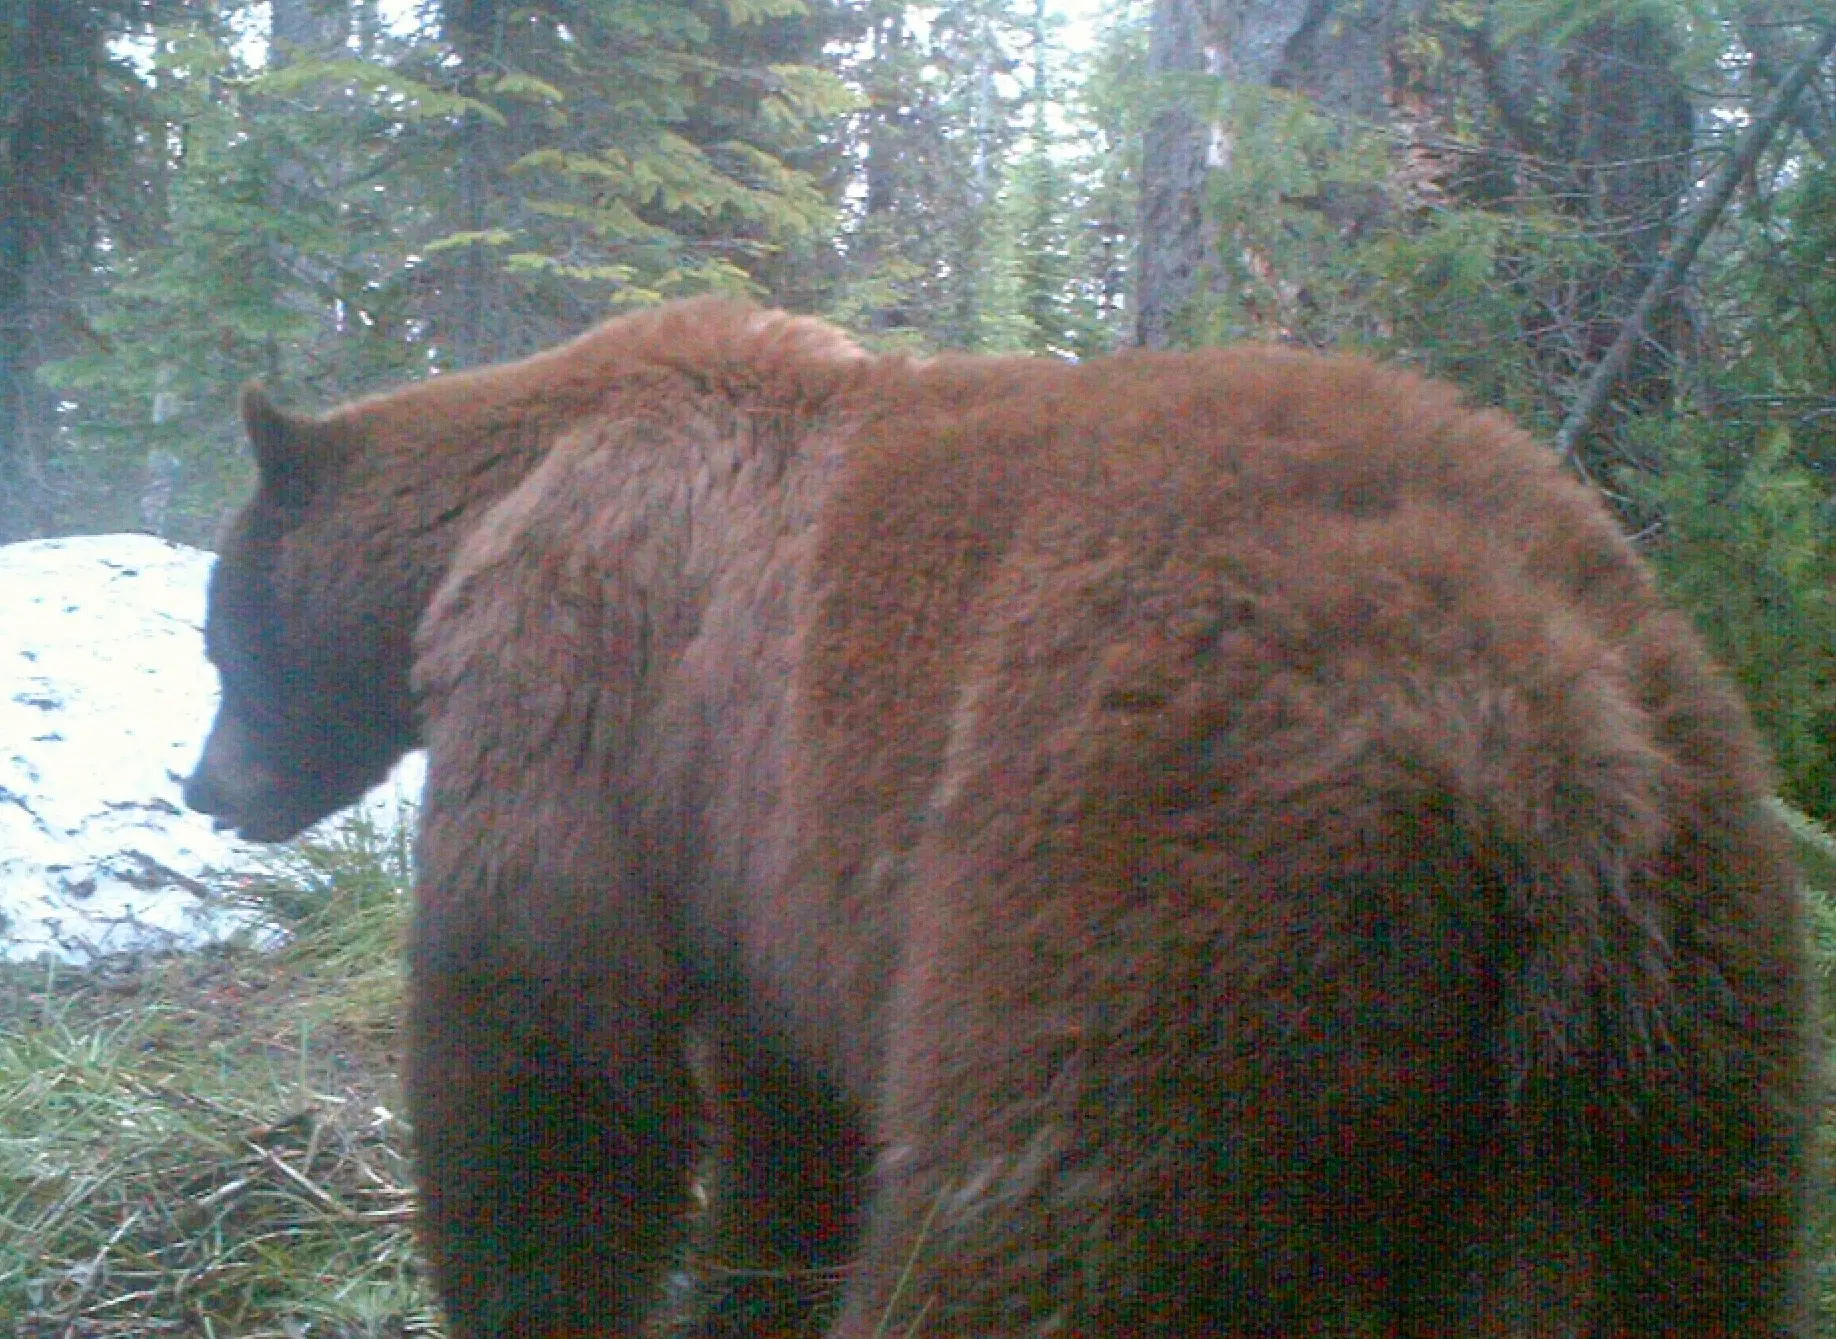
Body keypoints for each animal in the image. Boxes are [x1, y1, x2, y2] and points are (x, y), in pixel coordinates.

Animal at [179, 297, 1813, 1329]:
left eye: (214, 637)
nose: (202, 787)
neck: (518, 468)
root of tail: (1546, 735)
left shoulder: (583, 677)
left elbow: (539, 1035)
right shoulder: (777, 856)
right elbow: (782, 1110)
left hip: (1148, 908)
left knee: (1040, 1231)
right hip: (1669, 1029)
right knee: (1662, 1258)